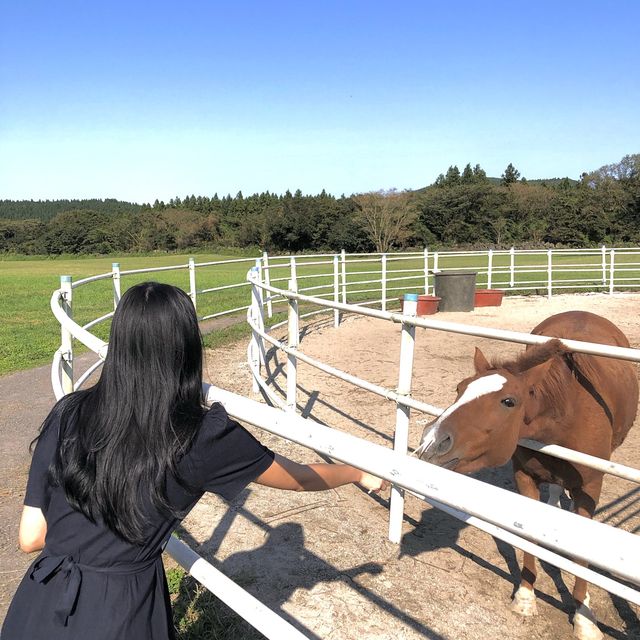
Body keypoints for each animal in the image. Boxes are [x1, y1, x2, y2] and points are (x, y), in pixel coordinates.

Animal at [418, 312, 636, 640]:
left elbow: (582, 556)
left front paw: (584, 618)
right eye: (459, 388)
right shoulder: (525, 477)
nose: (432, 441)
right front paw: (525, 597)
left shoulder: (590, 489)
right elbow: (529, 536)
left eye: (508, 401)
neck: (567, 413)